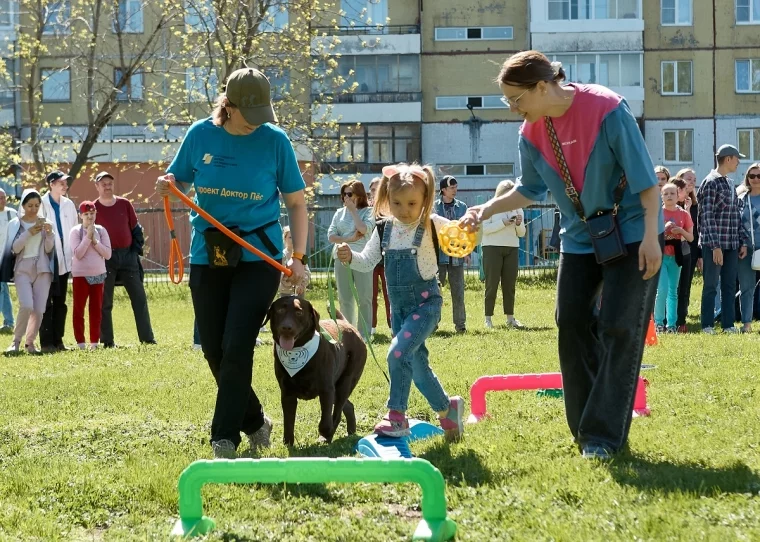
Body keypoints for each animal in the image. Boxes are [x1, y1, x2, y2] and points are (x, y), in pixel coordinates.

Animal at [262, 298, 366, 446]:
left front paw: (325, 433)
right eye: (280, 310)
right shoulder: (287, 394)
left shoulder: (327, 390)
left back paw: (328, 436)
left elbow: (325, 421)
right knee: (348, 406)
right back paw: (351, 431)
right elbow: (288, 422)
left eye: (299, 312)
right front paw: (288, 443)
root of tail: (347, 324)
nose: (286, 327)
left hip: (345, 382)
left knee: (337, 412)